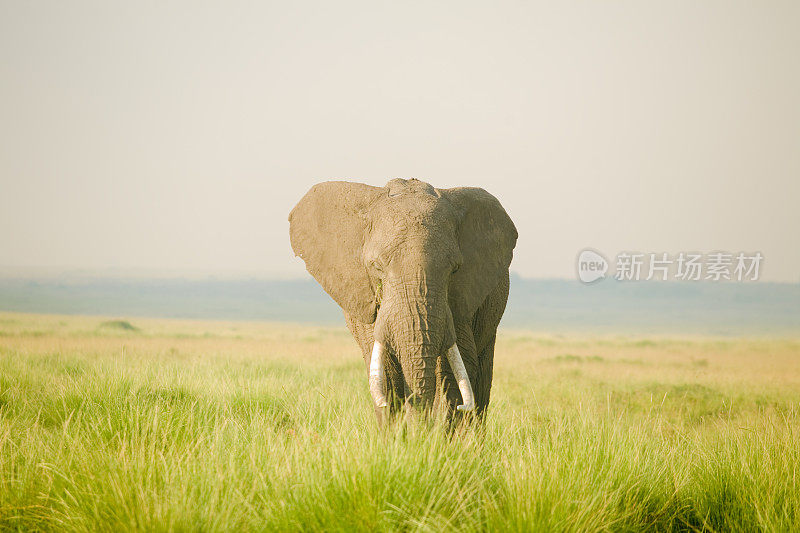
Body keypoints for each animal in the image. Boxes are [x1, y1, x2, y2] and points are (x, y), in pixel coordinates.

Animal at [290, 179, 520, 424]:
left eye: (454, 269)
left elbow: (454, 369)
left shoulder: (459, 302)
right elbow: (385, 373)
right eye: (376, 266)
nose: (418, 421)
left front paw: (432, 431)